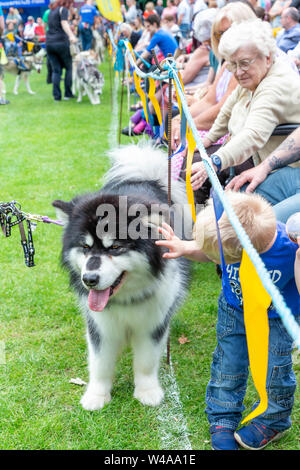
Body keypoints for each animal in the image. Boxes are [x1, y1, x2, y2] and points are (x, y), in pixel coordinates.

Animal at [52, 144, 191, 412]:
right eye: (85, 248)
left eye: (115, 248)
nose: (89, 279)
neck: (127, 298)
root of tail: (144, 177)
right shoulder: (100, 325)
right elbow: (100, 363)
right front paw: (97, 395)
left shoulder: (152, 323)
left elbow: (146, 362)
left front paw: (147, 391)